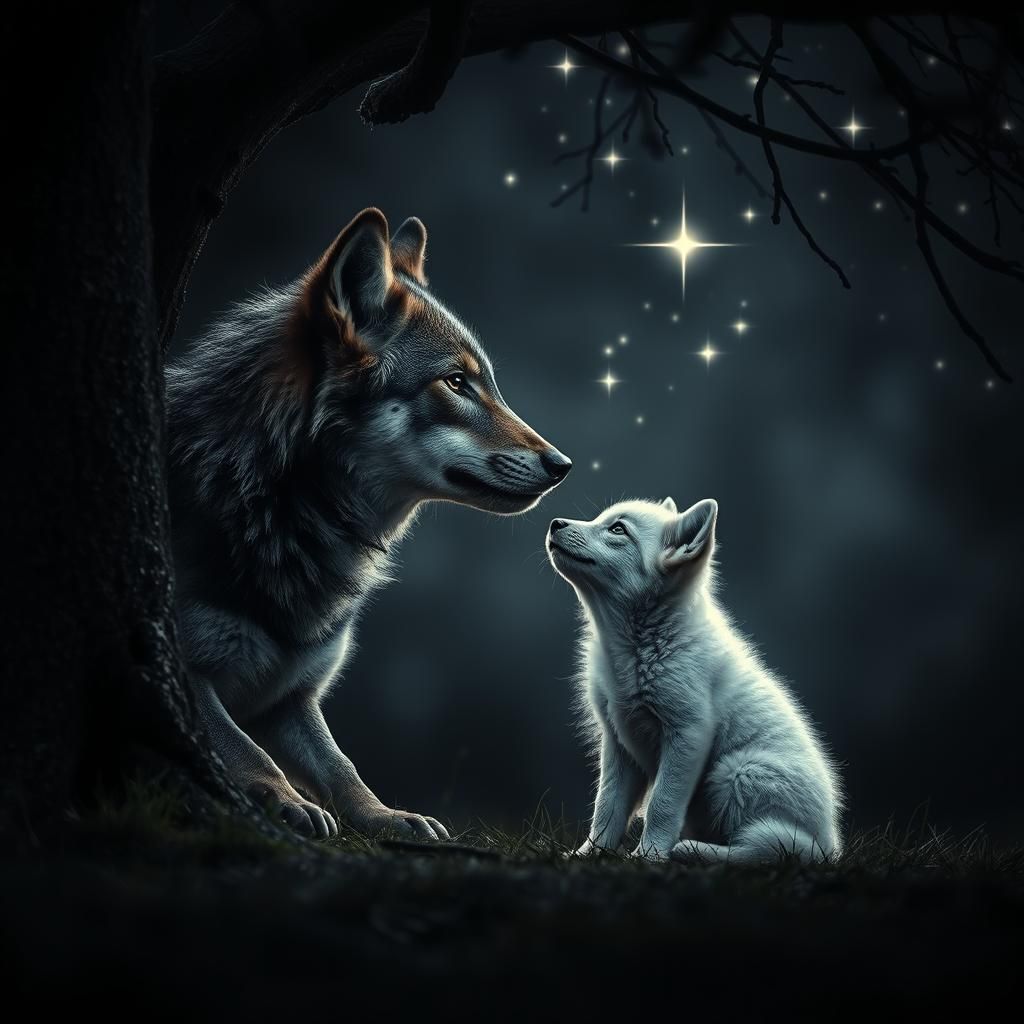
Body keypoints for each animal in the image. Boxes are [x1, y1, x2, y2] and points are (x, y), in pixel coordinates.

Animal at [167, 207, 572, 839]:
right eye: (457, 383)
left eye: (489, 384)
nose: (562, 465)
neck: (279, 508)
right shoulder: (188, 668)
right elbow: (244, 750)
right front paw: (287, 803)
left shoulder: (294, 697)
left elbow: (343, 766)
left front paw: (390, 817)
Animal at [546, 497, 842, 863]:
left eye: (617, 529)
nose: (555, 523)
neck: (638, 650)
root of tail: (831, 843)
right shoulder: (618, 741)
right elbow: (606, 808)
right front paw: (589, 854)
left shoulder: (688, 732)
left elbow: (661, 804)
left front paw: (649, 856)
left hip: (735, 771)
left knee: (774, 846)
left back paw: (692, 850)